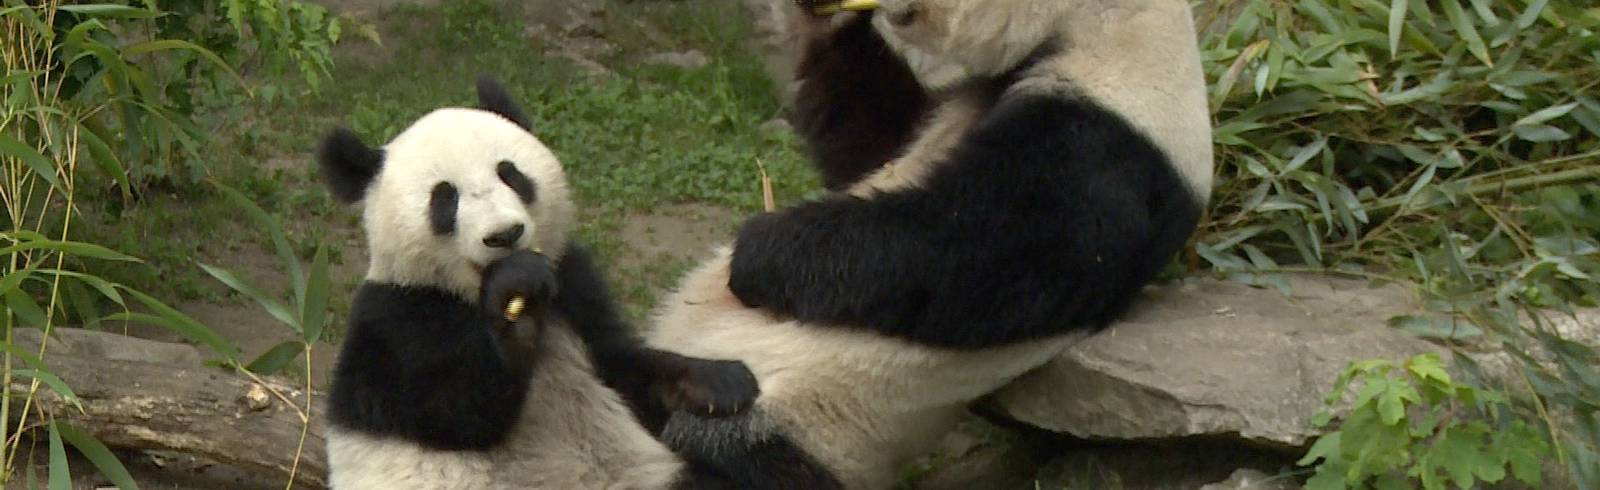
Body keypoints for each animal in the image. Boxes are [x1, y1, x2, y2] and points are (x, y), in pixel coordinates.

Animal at [320, 76, 761, 490]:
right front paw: (516, 305)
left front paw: (720, 382)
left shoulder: (573, 281)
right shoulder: (399, 317)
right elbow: (455, 412)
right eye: (445, 199)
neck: (470, 293)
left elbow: (622, 368)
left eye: (510, 174)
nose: (504, 234)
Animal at [643, 1, 1216, 486]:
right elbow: (872, 143)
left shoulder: (1108, 146)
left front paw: (758, 250)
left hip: (784, 425)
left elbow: (969, 255)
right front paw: (829, 20)